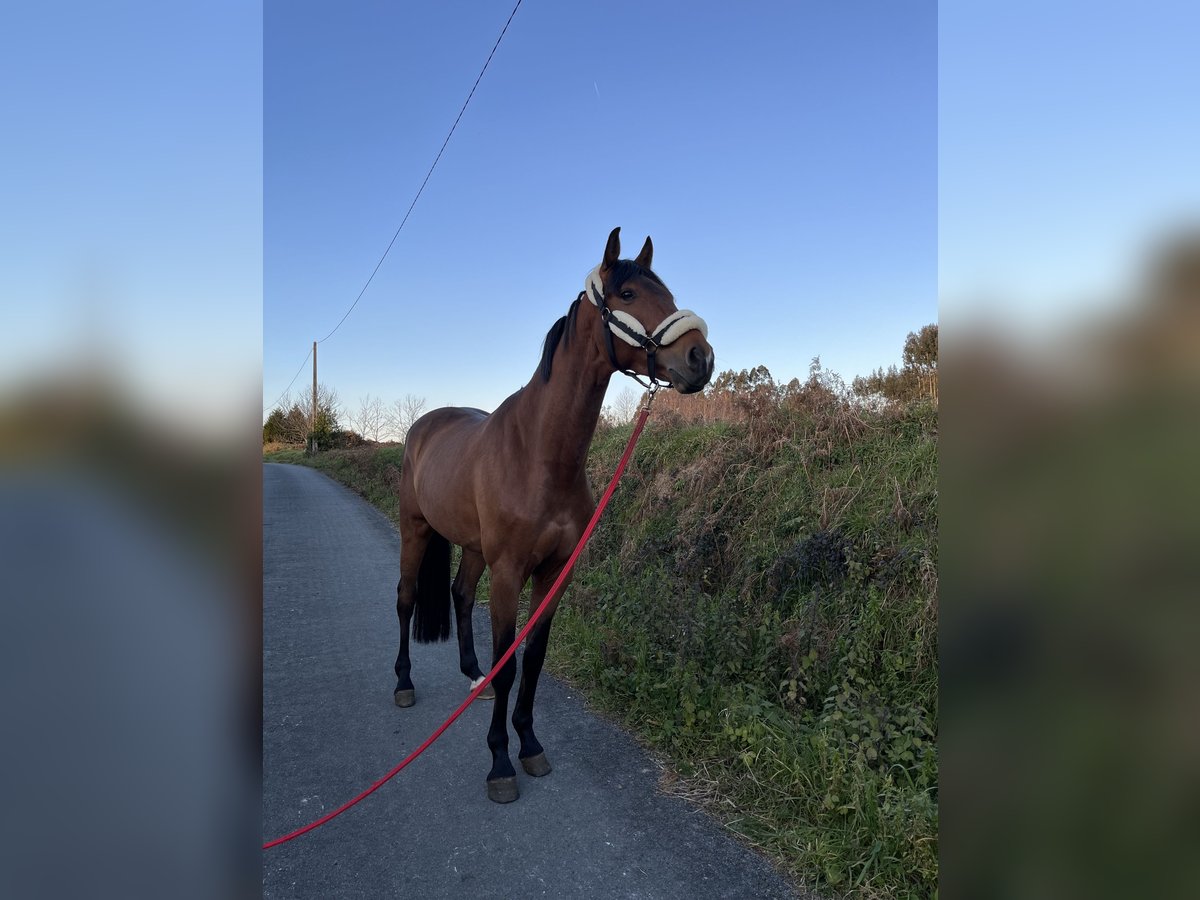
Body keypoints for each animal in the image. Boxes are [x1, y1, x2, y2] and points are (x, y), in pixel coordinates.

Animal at [393, 229, 710, 806]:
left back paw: (473, 675)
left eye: (669, 293)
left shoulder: (555, 571)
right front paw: (500, 763)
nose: (701, 357)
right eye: (627, 294)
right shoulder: (510, 573)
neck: (540, 454)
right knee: (406, 600)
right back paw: (403, 683)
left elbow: (534, 658)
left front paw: (529, 744)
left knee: (460, 594)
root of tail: (424, 427)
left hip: (473, 548)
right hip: (416, 530)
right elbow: (511, 662)